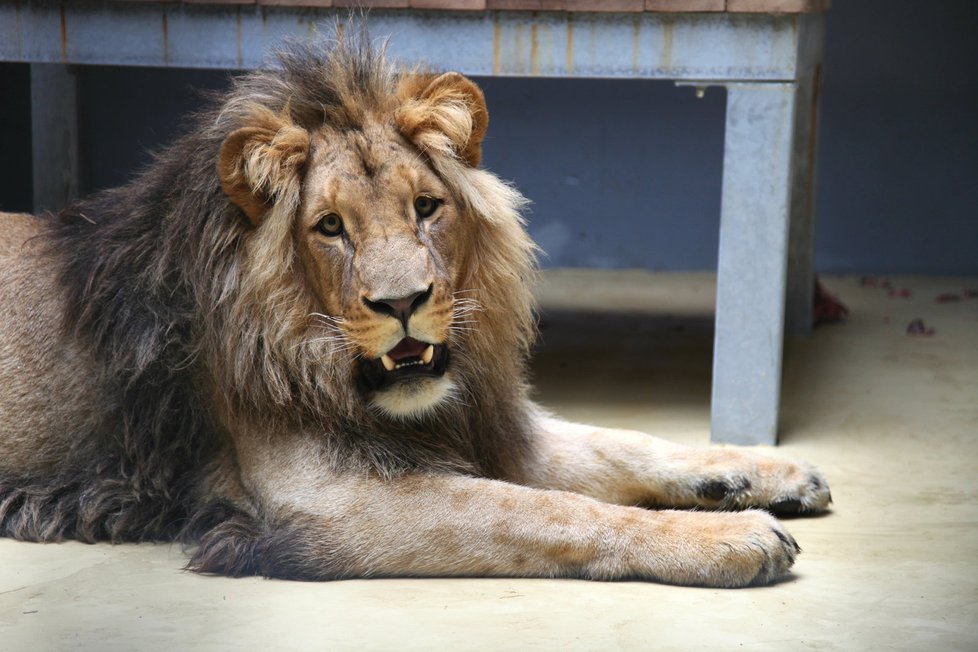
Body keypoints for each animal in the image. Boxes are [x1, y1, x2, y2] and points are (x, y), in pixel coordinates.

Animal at [0, 35, 832, 588]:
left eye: (426, 208)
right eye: (330, 228)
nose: (402, 303)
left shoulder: (485, 423)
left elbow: (623, 446)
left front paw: (764, 471)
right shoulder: (329, 507)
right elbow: (548, 512)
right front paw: (731, 539)